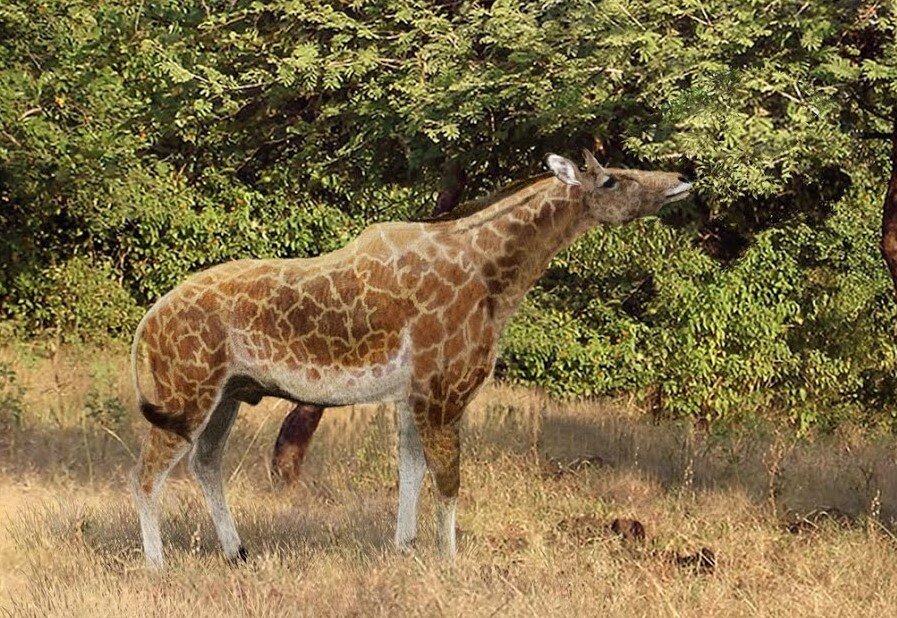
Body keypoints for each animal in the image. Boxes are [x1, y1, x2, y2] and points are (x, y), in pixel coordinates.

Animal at [131, 150, 692, 564]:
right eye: (612, 180)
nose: (682, 180)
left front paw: (405, 549)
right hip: (189, 390)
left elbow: (411, 471)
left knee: (205, 461)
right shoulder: (442, 387)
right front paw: (450, 562)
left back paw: (237, 551)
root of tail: (149, 321)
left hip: (227, 392)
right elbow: (448, 479)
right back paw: (157, 563)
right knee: (146, 473)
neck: (497, 282)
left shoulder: (412, 393)